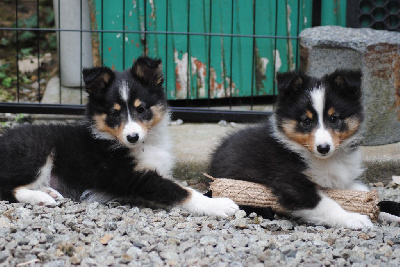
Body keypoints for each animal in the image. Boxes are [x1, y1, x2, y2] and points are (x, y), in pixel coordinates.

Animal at [0, 56, 238, 218]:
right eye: (115, 113)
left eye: (141, 109)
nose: (132, 136)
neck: (143, 145)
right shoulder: (133, 177)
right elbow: (181, 191)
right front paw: (221, 205)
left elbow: (178, 185)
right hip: (35, 151)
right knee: (9, 188)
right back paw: (41, 198)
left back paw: (50, 191)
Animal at [209, 70, 372, 229]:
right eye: (306, 121)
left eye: (334, 119)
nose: (323, 148)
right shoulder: (290, 183)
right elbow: (326, 205)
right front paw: (353, 219)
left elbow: (357, 188)